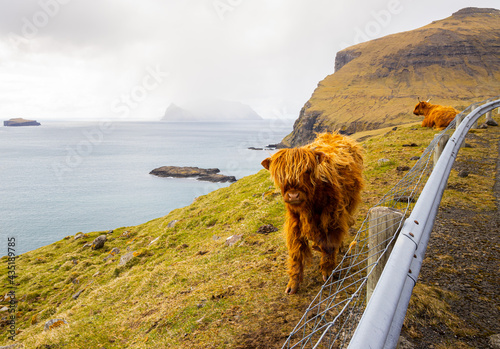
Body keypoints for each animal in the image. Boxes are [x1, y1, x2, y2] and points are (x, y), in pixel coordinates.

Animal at [262, 132, 364, 292]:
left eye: (307, 170)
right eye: (280, 175)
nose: (293, 195)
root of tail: (333, 134)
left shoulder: (332, 217)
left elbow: (329, 244)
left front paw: (327, 272)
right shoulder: (295, 221)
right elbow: (296, 250)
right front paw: (293, 284)